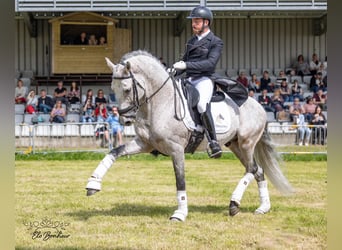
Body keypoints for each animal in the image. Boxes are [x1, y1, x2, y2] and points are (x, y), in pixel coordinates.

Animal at [86, 50, 294, 221]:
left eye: (127, 88)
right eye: (113, 89)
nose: (125, 120)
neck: (160, 103)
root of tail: (258, 105)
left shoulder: (176, 149)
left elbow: (180, 180)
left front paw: (180, 213)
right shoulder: (144, 144)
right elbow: (114, 152)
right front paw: (93, 183)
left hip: (247, 143)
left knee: (252, 169)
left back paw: (234, 203)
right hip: (235, 145)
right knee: (258, 171)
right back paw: (263, 207)